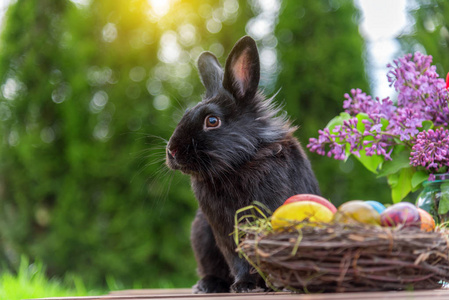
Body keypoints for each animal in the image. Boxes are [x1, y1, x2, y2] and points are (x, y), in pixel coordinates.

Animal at [166, 35, 320, 292]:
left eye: (212, 121)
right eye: (185, 115)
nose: (172, 151)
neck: (236, 166)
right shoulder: (223, 228)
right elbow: (237, 256)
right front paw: (244, 285)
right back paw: (207, 285)